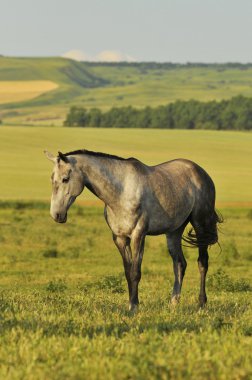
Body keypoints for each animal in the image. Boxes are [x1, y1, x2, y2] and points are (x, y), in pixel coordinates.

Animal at [45, 149, 222, 312]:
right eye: (52, 179)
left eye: (65, 179)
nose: (56, 214)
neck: (121, 192)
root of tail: (201, 172)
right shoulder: (120, 238)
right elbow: (128, 272)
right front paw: (131, 304)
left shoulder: (138, 235)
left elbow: (136, 272)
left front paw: (134, 307)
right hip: (174, 231)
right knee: (179, 264)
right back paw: (173, 303)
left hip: (200, 225)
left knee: (202, 263)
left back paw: (201, 303)